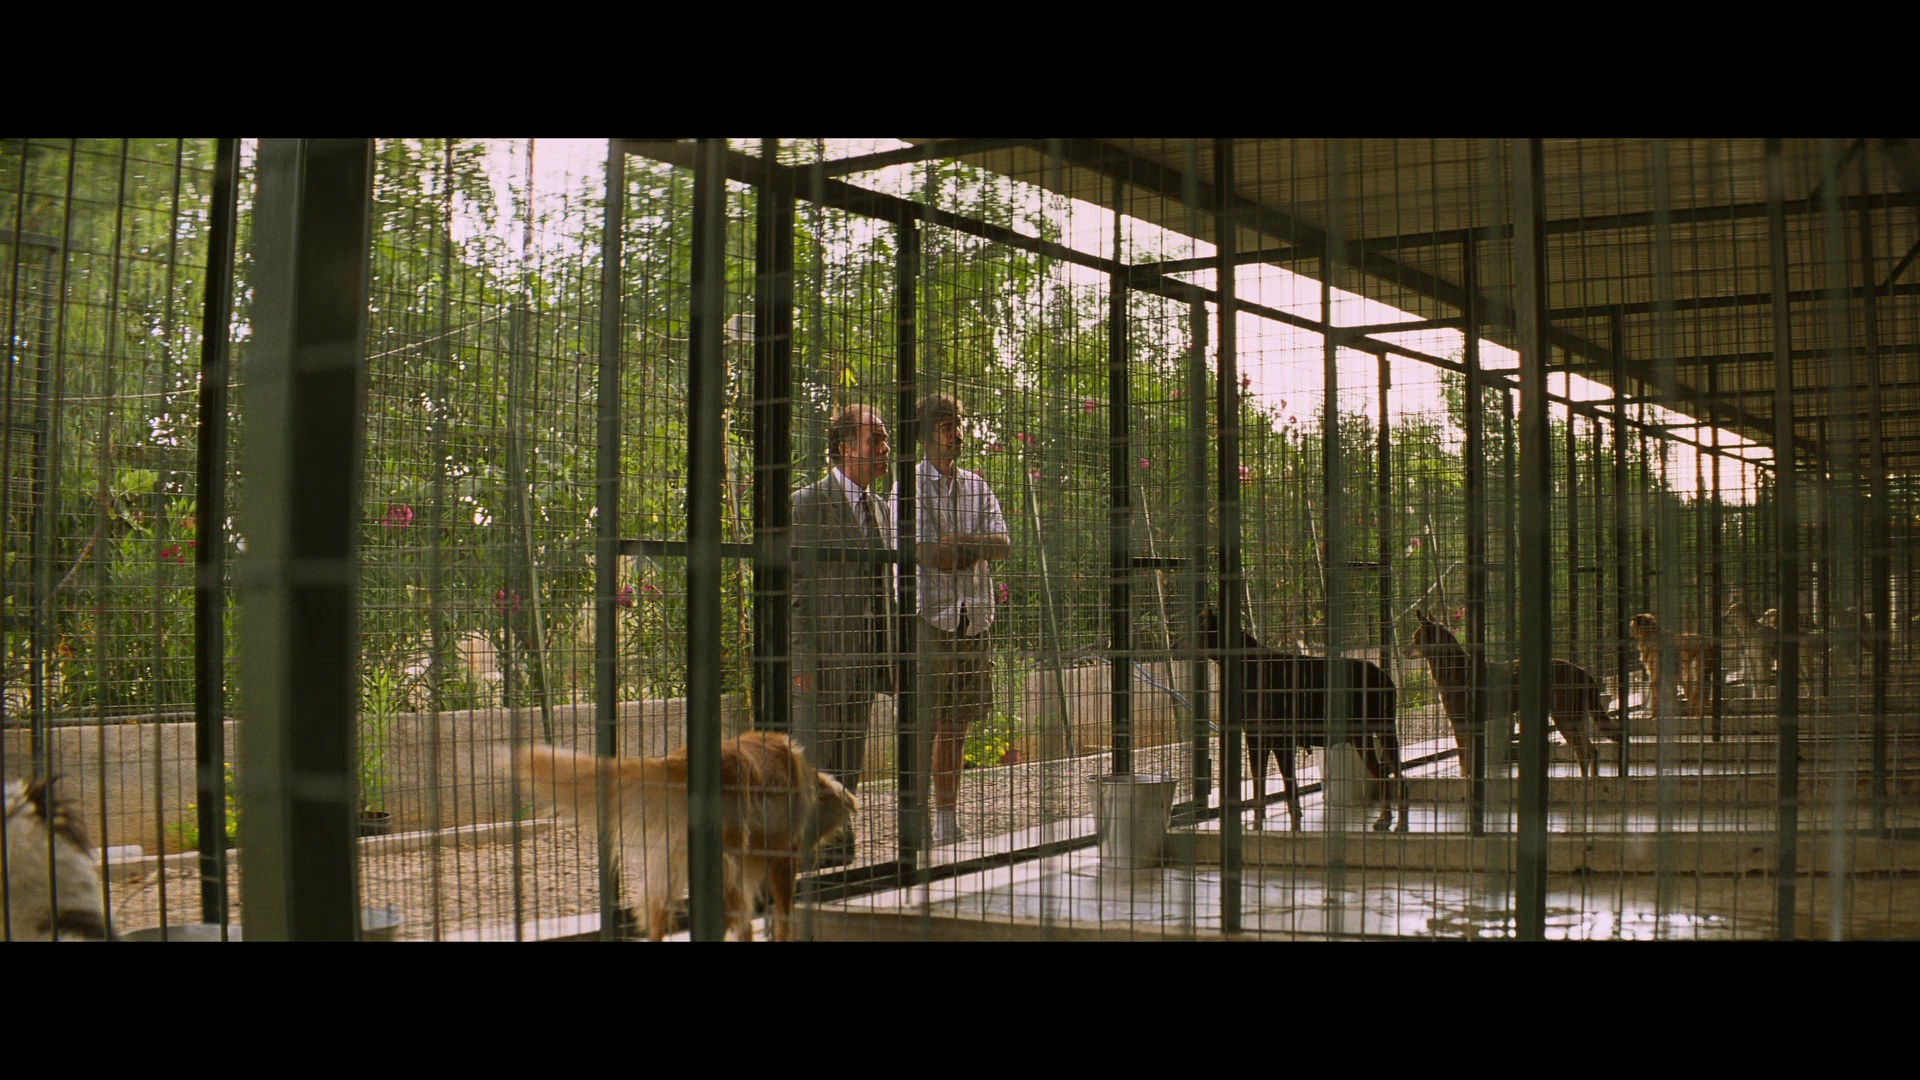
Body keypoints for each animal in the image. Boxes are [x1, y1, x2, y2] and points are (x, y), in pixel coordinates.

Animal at [501, 731, 856, 941]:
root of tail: (681, 760)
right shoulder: (781, 859)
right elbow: (781, 914)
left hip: (672, 857)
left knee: (658, 910)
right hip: (720, 855)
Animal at [1196, 607, 1409, 833]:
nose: (1179, 644)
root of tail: (1386, 677)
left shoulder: (1281, 740)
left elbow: (1290, 787)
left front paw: (1294, 826)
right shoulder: (1255, 739)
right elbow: (1258, 785)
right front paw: (1257, 825)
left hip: (1384, 730)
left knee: (1399, 780)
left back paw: (1401, 824)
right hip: (1362, 737)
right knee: (1382, 776)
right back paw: (1385, 819)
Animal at [1407, 611, 1622, 779]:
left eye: (1414, 639)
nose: (1402, 650)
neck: (1454, 668)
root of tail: (1583, 671)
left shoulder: (1459, 722)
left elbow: (1463, 760)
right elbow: (1468, 761)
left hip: (1564, 719)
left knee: (1585, 752)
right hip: (1571, 719)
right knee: (1590, 751)